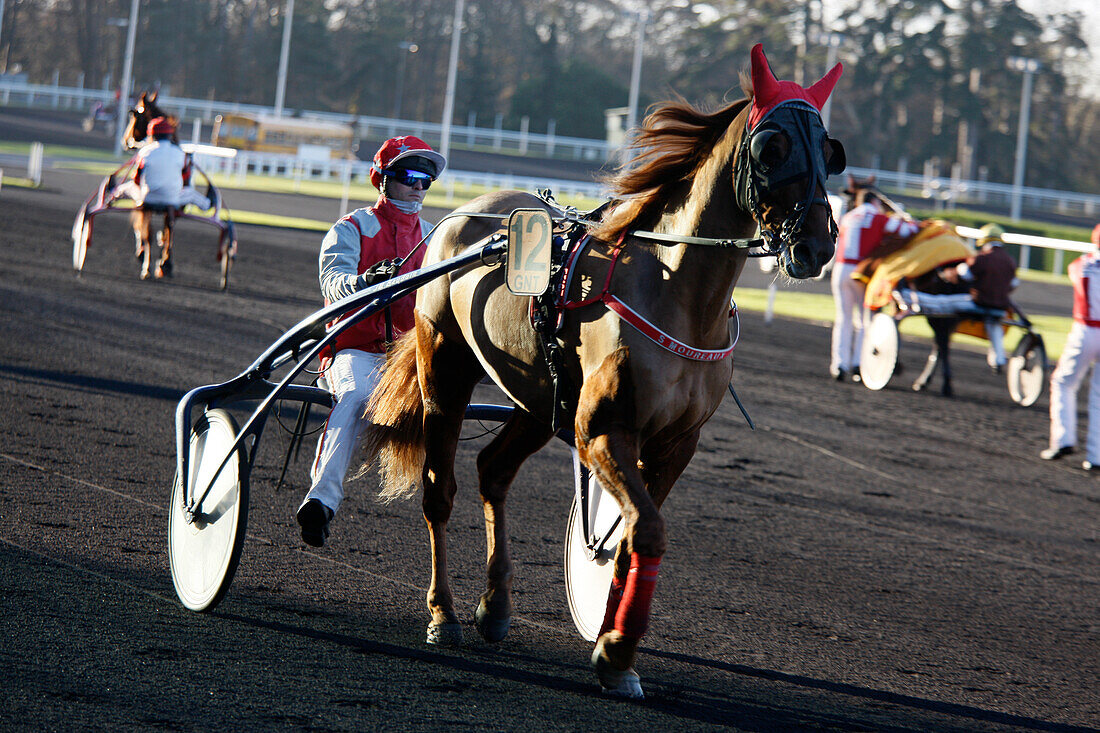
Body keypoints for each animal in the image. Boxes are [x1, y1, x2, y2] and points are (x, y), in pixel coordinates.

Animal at [360, 45, 840, 695]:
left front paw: (615, 647)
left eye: (831, 150)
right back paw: (444, 614)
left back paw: (496, 605)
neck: (677, 292)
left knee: (494, 470)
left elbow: (633, 537)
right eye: (771, 147)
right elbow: (648, 530)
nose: (818, 244)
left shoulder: (675, 443)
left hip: (539, 396)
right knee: (441, 488)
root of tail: (463, 215)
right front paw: (616, 651)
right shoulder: (604, 429)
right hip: (446, 372)